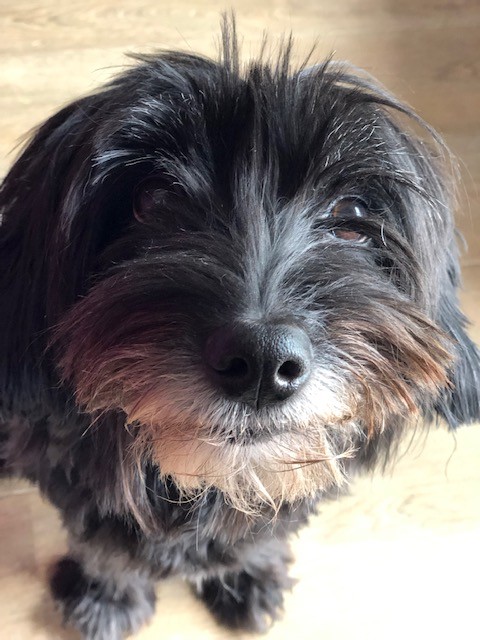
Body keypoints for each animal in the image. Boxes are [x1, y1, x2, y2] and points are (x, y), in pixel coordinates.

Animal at [1, 21, 479, 640]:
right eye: (151, 199)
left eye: (351, 217)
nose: (261, 363)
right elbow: (104, 549)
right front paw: (105, 597)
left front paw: (247, 574)